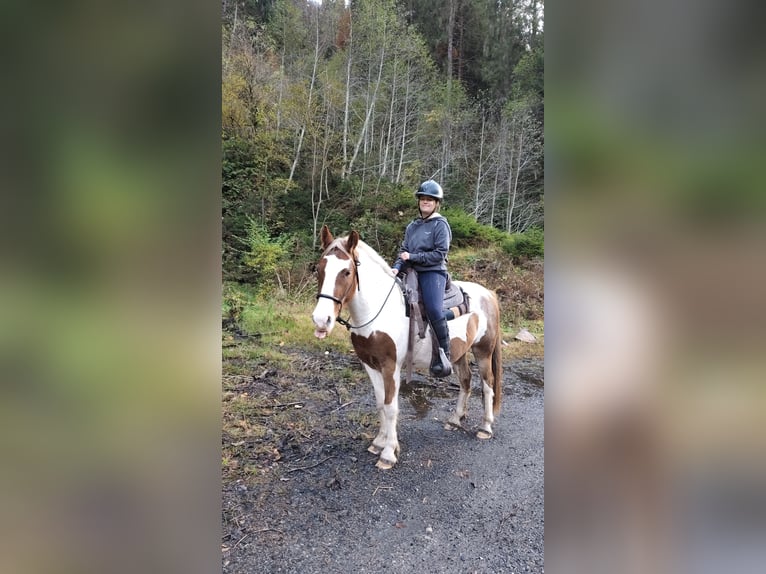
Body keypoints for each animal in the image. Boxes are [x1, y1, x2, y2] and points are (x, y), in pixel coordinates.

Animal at [311, 225, 504, 470]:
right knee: (466, 380)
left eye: (346, 272)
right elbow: (380, 404)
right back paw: (454, 420)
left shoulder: (390, 366)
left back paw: (485, 427)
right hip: (460, 352)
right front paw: (378, 442)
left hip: (483, 350)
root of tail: (488, 293)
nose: (321, 320)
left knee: (488, 385)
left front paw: (388, 453)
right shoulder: (370, 365)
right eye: (319, 269)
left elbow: (391, 407)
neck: (378, 312)